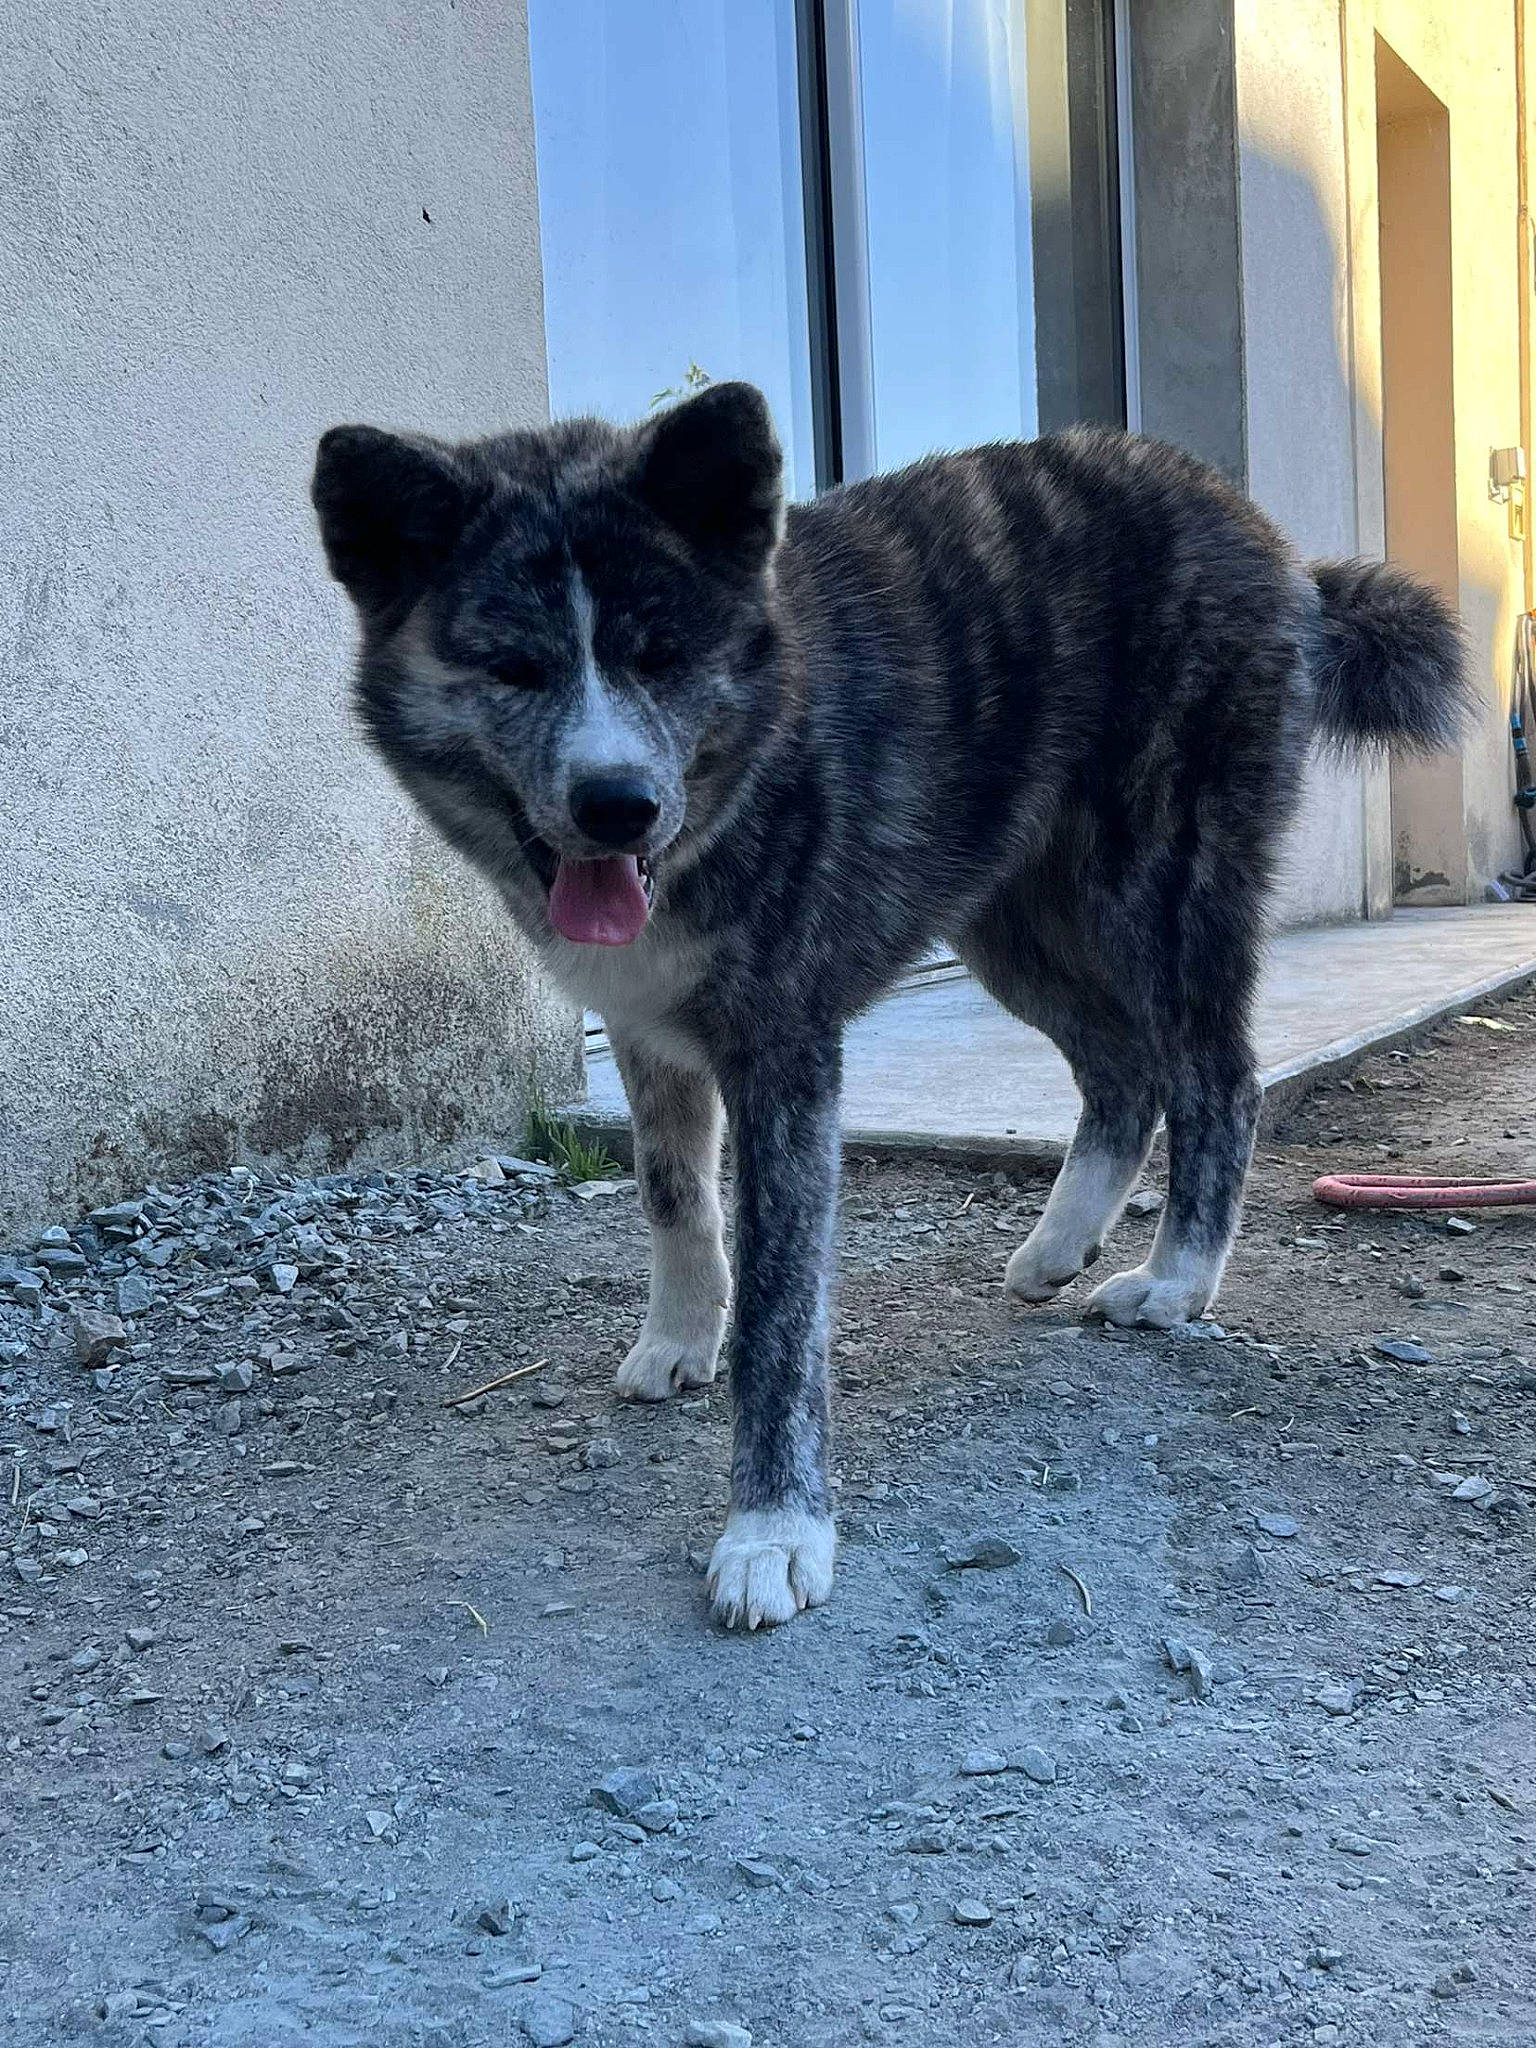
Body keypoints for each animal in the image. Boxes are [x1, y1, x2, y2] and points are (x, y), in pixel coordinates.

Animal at [311, 381, 1463, 1630]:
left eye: (662, 656)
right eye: (515, 668)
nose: (620, 805)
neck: (734, 780)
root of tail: (1267, 539)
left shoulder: (785, 1056)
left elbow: (782, 1312)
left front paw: (773, 1529)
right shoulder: (646, 1030)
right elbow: (674, 1198)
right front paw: (680, 1335)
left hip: (1160, 887)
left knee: (1215, 1075)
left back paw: (1175, 1279)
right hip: (1006, 926)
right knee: (1124, 1067)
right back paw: (1060, 1242)